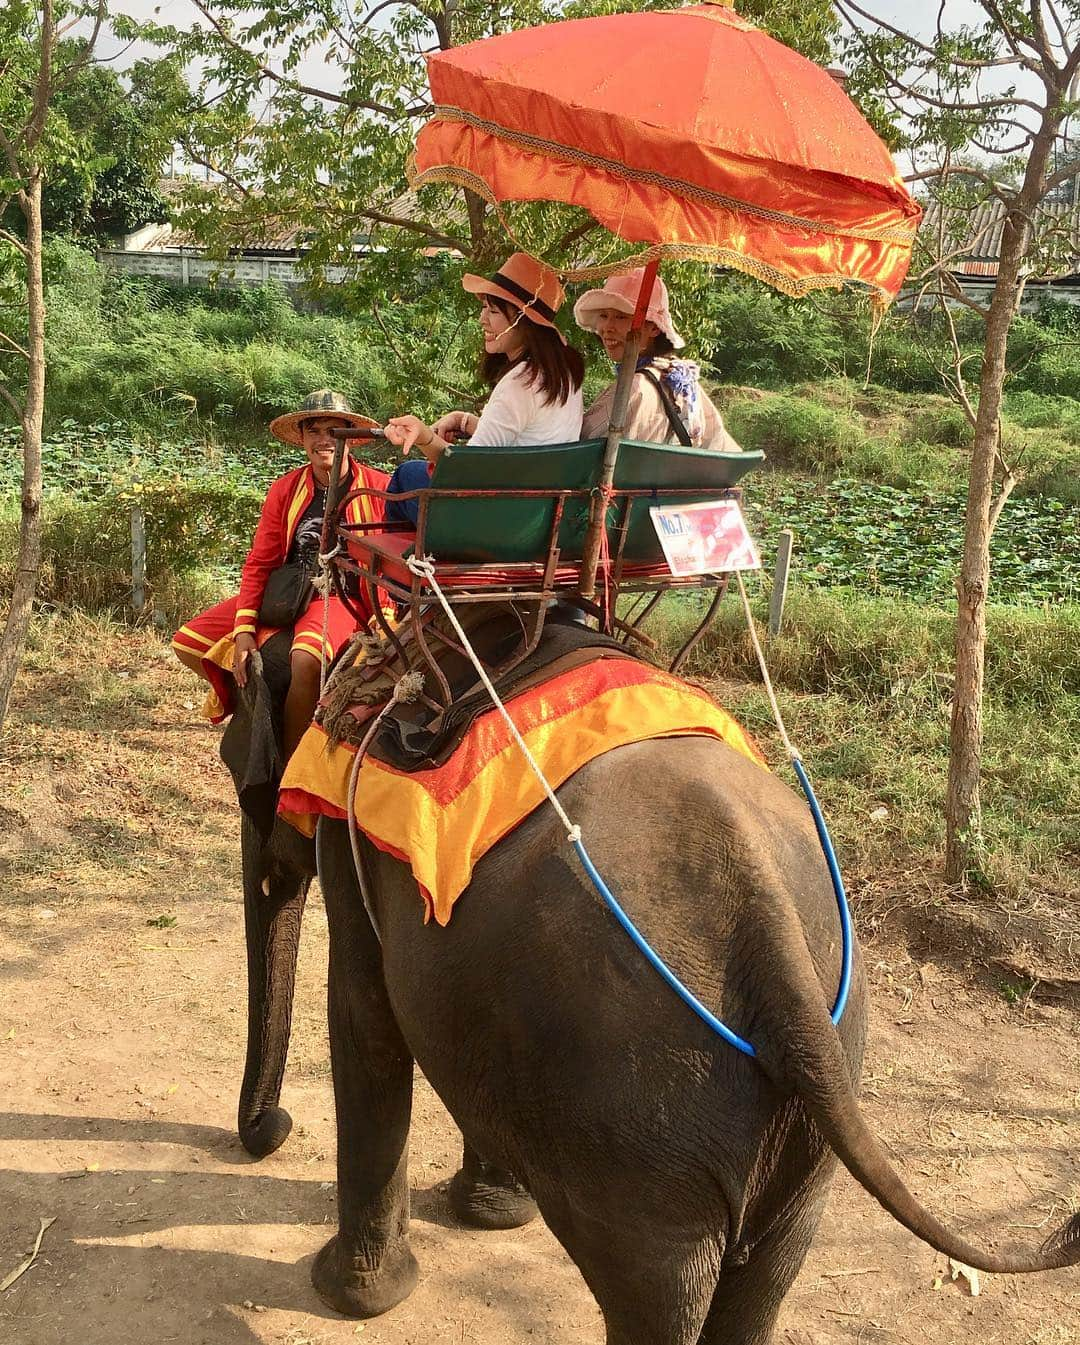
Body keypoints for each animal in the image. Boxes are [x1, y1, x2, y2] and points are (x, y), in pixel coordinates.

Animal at [291, 632, 1080, 1345]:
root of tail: (774, 947)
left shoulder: (350, 817)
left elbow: (364, 1009)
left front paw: (351, 1297)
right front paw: (491, 1211)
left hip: (637, 1115)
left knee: (656, 1291)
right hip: (795, 1109)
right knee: (765, 1273)